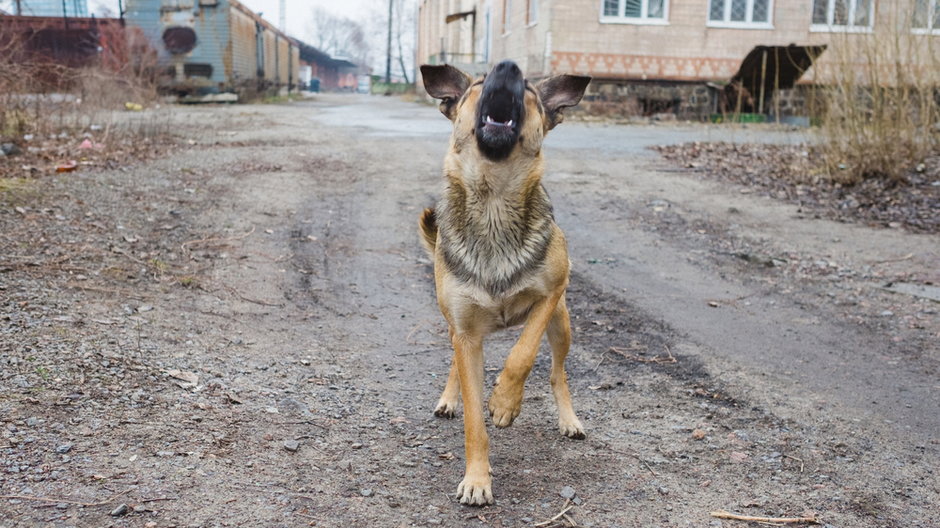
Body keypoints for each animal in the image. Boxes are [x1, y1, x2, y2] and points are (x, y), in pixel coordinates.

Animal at [416, 59, 588, 506]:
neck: (493, 201)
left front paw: (506, 402)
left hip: (562, 324)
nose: (507, 66)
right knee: (455, 363)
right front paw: (477, 479)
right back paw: (449, 399)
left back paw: (569, 419)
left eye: (528, 87)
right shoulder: (465, 333)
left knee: (557, 373)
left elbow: (522, 355)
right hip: (454, 327)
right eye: (478, 82)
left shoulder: (550, 296)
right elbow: (474, 419)